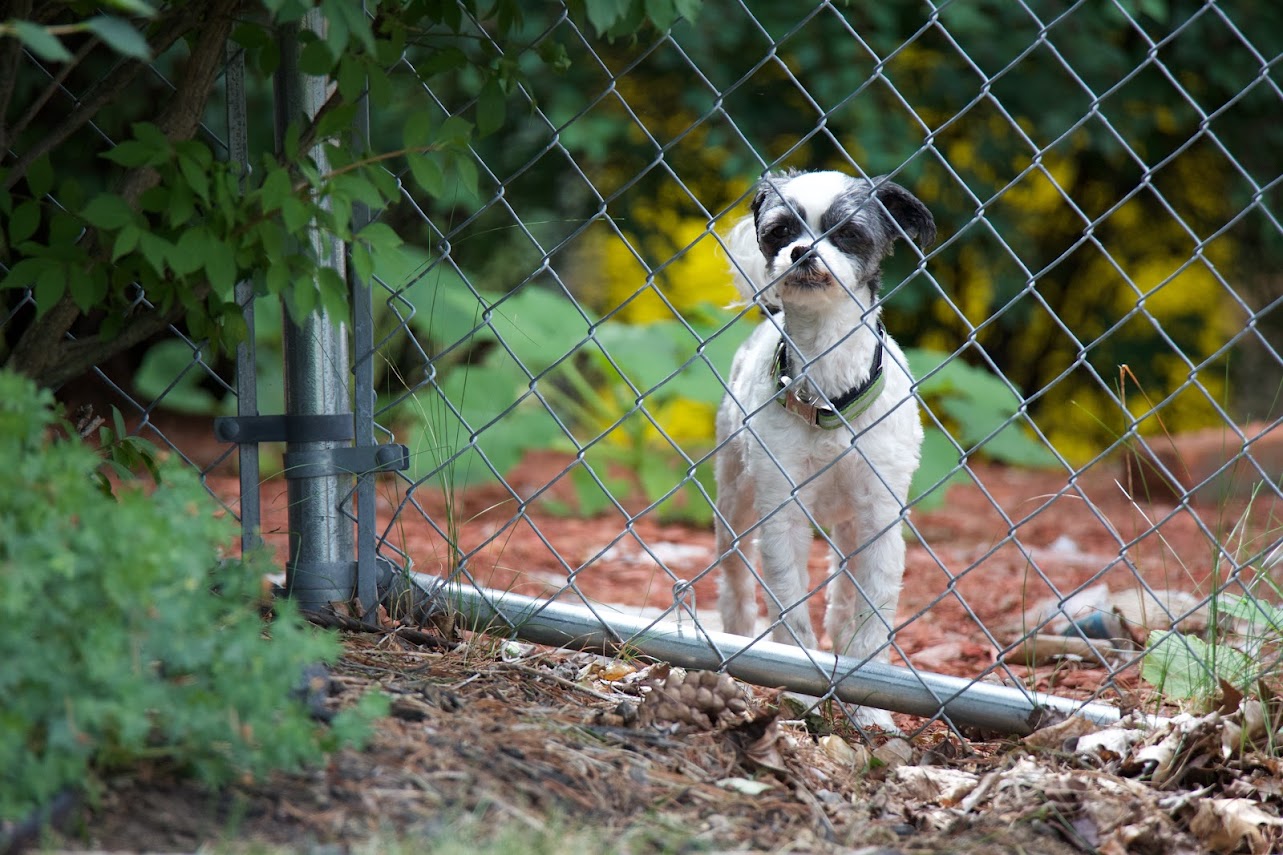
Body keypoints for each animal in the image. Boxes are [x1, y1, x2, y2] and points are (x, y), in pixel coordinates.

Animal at [713, 169, 934, 677]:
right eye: (780, 231)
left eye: (847, 233)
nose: (803, 251)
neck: (830, 392)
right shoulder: (782, 513)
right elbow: (789, 610)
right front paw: (796, 670)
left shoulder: (880, 517)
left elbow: (872, 613)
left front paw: (867, 683)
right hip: (734, 501)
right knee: (735, 579)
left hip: (850, 523)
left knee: (842, 592)